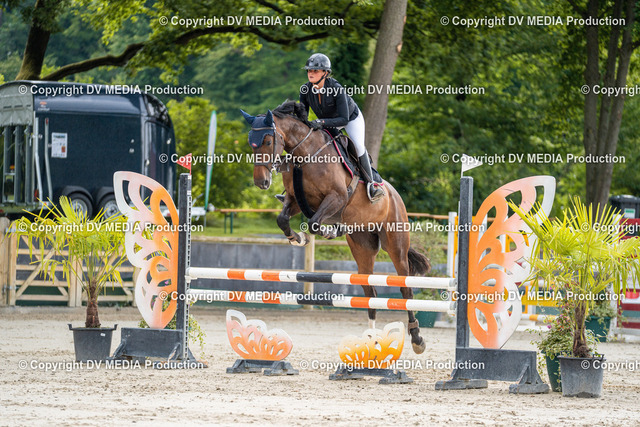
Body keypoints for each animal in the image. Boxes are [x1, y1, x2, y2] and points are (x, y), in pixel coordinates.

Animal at [240, 101, 430, 354]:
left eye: (268, 142)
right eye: (250, 143)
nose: (261, 182)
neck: (306, 154)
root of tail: (394, 194)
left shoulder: (336, 198)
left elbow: (314, 222)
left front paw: (326, 231)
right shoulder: (295, 200)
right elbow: (283, 220)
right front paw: (298, 239)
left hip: (396, 244)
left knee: (405, 288)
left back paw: (417, 339)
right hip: (362, 247)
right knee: (370, 291)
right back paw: (372, 339)